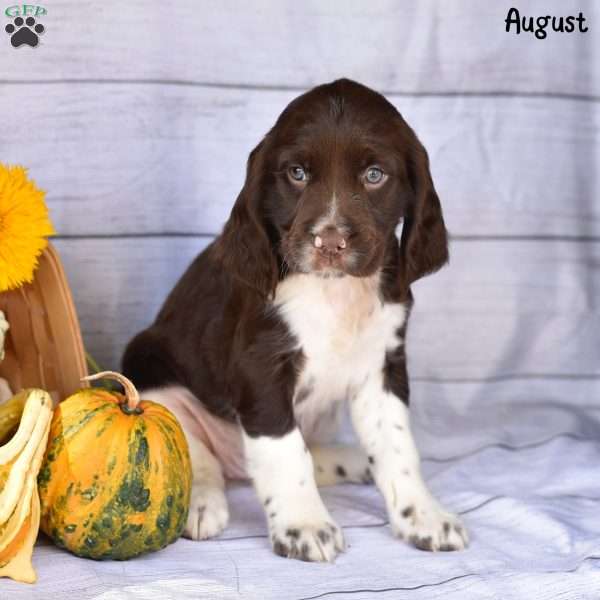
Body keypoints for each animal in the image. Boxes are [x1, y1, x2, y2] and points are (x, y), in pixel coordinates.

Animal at [122, 79, 468, 564]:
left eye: (374, 175)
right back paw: (199, 502)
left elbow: (398, 447)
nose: (330, 241)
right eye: (297, 174)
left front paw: (424, 515)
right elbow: (285, 450)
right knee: (194, 453)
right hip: (149, 369)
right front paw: (305, 524)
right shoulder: (260, 367)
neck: (334, 292)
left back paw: (351, 461)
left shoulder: (383, 366)